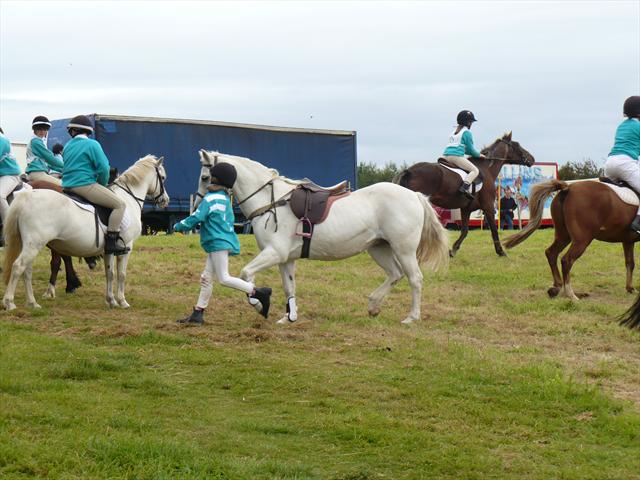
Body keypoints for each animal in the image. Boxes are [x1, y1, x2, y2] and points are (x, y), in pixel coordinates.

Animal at [3, 156, 169, 310]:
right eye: (163, 177)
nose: (165, 200)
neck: (128, 199)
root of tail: (27, 196)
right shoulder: (127, 247)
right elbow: (122, 274)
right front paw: (122, 301)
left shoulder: (109, 249)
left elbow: (110, 273)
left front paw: (111, 301)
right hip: (34, 244)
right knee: (18, 267)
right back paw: (9, 302)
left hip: (30, 245)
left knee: (27, 271)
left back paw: (32, 303)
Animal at [196, 148, 450, 324]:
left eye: (205, 177)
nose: (198, 204)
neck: (271, 201)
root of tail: (414, 195)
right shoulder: (285, 259)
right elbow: (289, 287)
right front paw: (289, 317)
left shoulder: (274, 253)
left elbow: (246, 274)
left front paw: (259, 303)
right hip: (379, 248)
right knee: (395, 274)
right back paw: (373, 306)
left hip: (403, 249)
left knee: (415, 279)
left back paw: (411, 317)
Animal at [396, 131, 536, 256]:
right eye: (517, 145)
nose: (532, 158)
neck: (487, 169)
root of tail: (409, 171)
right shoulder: (488, 206)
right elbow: (494, 229)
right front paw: (501, 251)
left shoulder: (466, 209)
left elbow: (464, 231)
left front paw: (453, 250)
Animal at [504, 179, 640, 308]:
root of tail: (568, 188)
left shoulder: (628, 241)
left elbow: (630, 263)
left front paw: (630, 289)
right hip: (582, 240)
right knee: (566, 260)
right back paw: (571, 294)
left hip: (564, 236)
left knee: (551, 253)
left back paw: (557, 287)